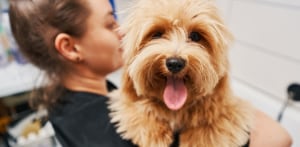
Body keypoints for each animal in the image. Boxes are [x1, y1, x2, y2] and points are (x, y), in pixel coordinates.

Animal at [108, 0, 253, 146]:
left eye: (195, 36)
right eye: (157, 34)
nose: (175, 63)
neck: (176, 109)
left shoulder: (231, 110)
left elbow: (214, 121)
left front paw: (198, 137)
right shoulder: (125, 100)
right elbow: (137, 108)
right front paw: (155, 132)